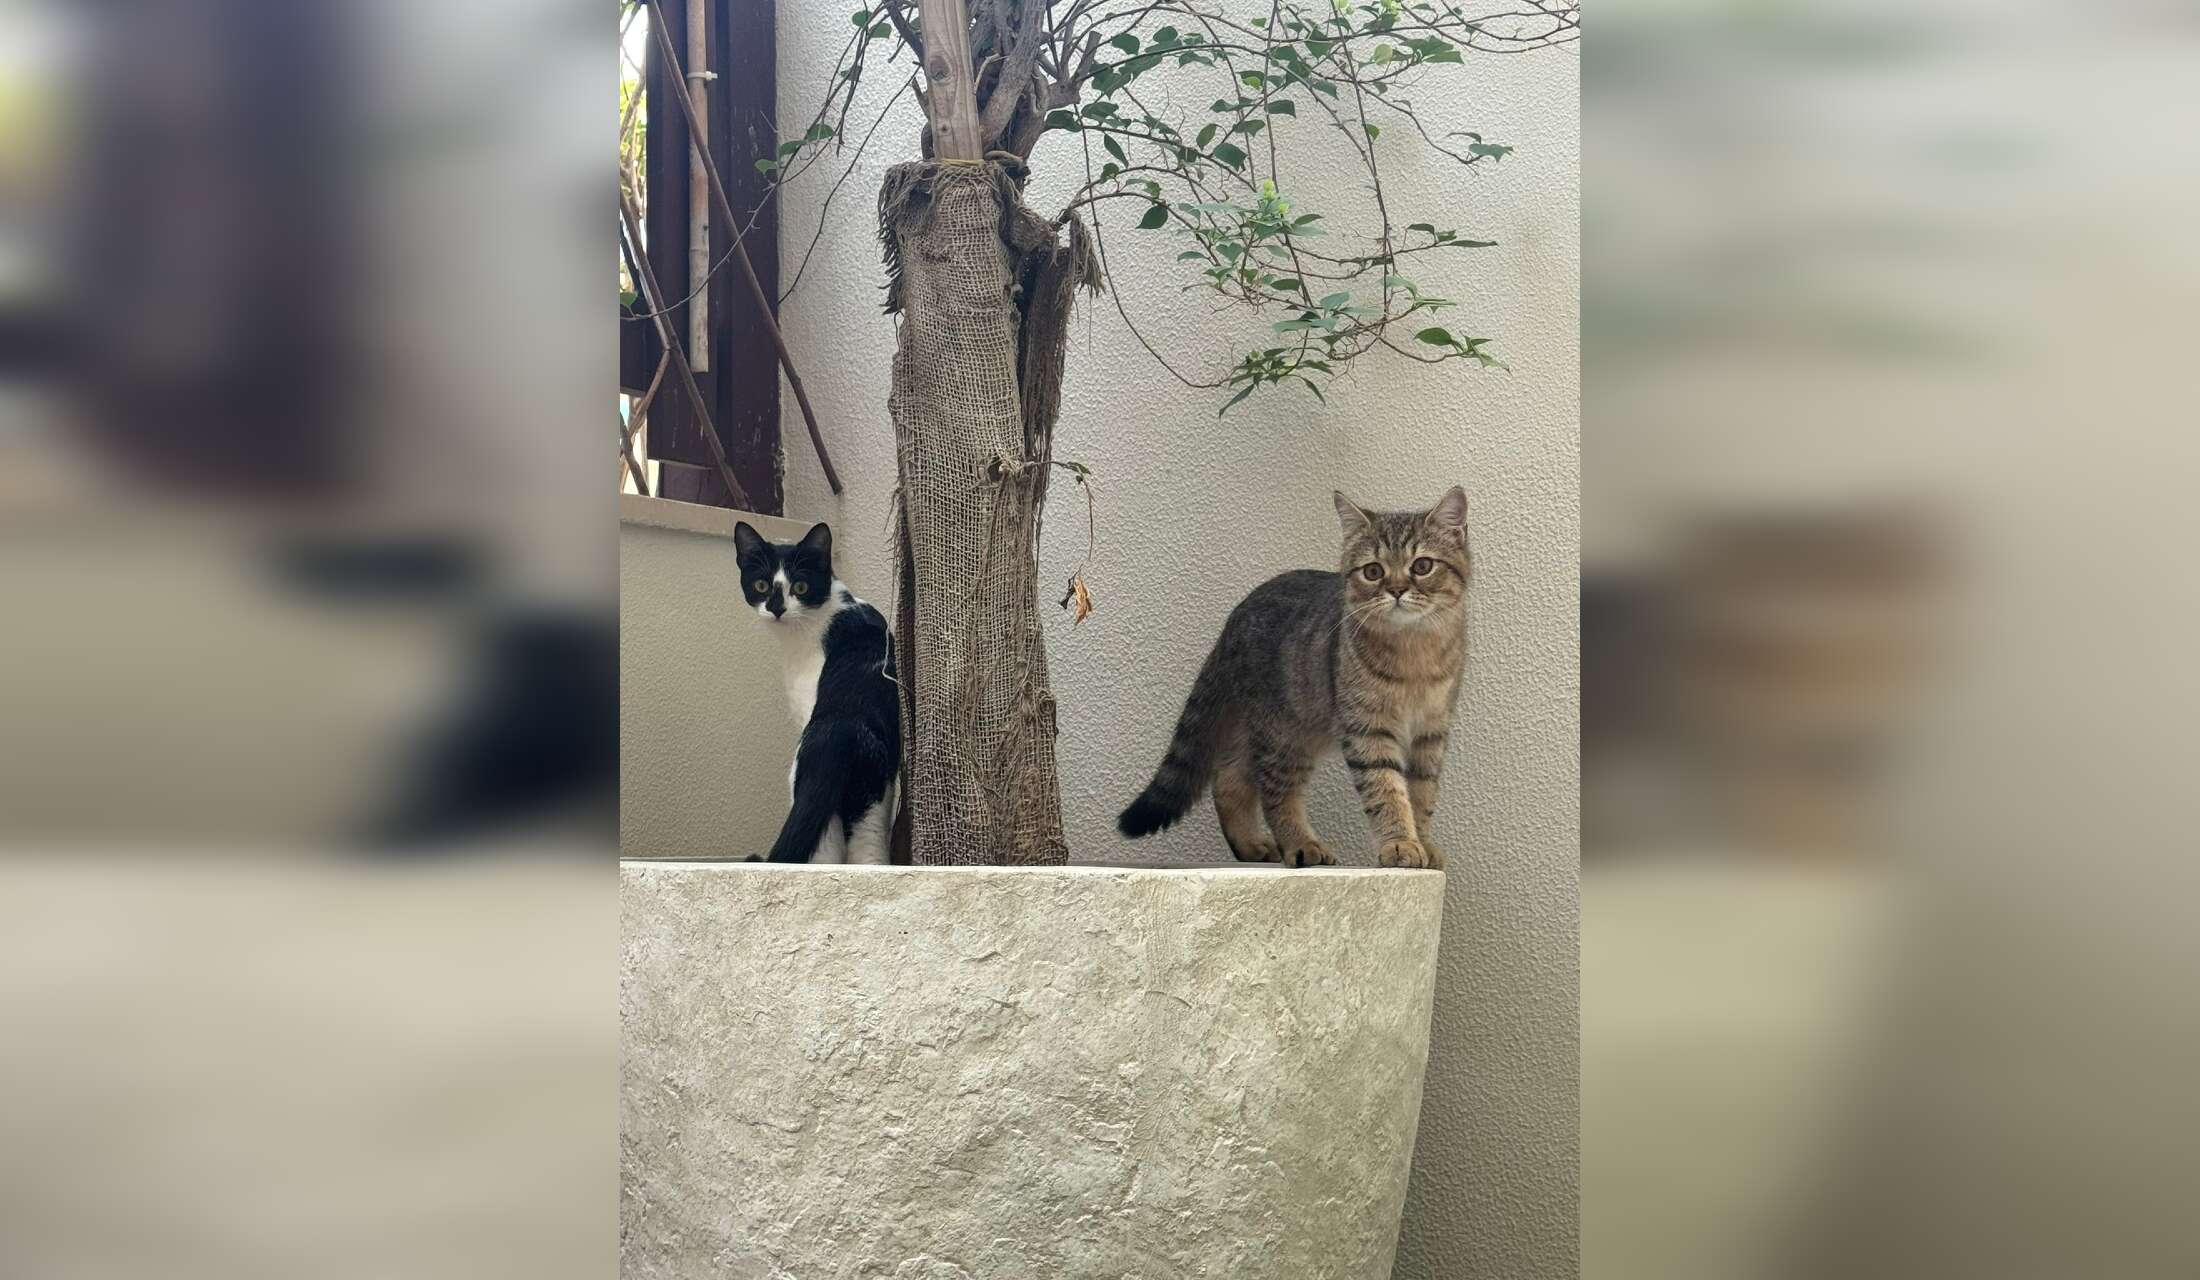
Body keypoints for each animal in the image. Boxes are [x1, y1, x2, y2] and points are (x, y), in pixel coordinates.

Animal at [733, 520, 899, 865]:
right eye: (761, 585)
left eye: (800, 587)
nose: (776, 608)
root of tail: (841, 728)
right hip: (873, 799)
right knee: (868, 854)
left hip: (808, 787)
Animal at [1118, 487, 1470, 869]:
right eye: (1373, 571)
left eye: (1422, 566)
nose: (1395, 590)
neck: (1413, 653)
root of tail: (1235, 617)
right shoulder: (1367, 729)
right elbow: (1386, 790)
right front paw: (1400, 843)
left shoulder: (1431, 733)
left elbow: (1422, 795)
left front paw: (1422, 841)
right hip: (1284, 734)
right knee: (1274, 792)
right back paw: (1300, 843)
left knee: (1228, 779)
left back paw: (1249, 845)